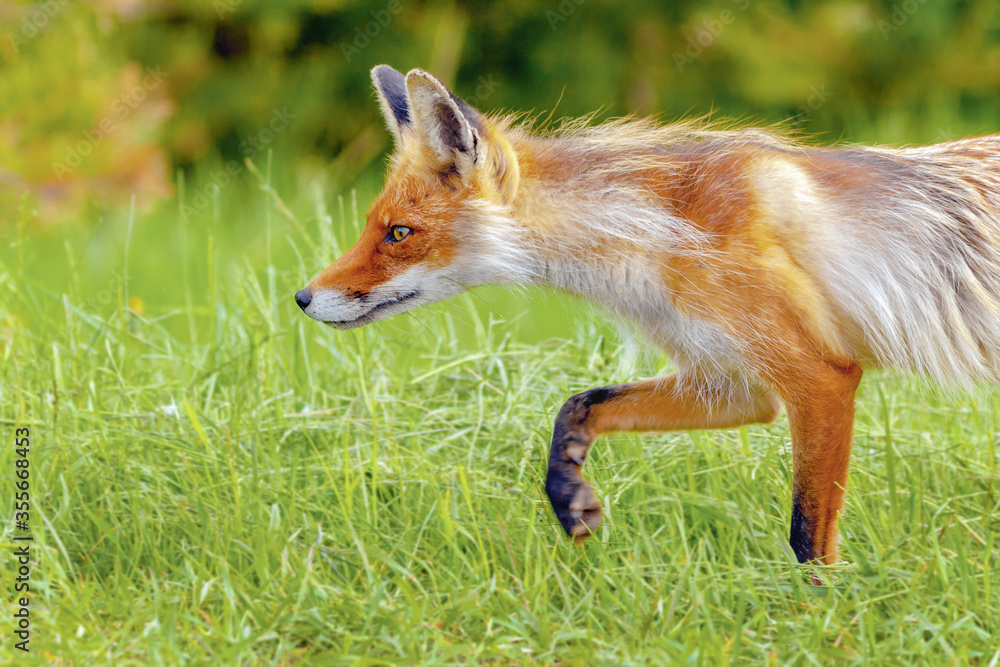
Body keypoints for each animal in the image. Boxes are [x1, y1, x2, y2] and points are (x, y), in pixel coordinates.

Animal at [295, 65, 1000, 566]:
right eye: (371, 226)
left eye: (399, 233)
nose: (302, 298)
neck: (658, 234)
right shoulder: (732, 382)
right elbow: (579, 406)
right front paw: (568, 497)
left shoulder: (820, 375)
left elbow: (807, 540)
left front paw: (816, 622)